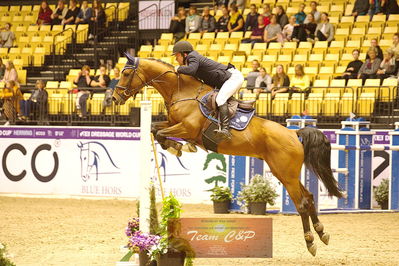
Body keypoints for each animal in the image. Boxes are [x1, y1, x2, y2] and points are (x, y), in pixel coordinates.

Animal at [112, 54, 344, 256]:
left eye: (126, 73)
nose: (114, 98)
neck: (181, 91)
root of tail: (295, 134)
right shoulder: (173, 123)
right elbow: (154, 129)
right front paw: (177, 147)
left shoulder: (187, 128)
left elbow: (160, 132)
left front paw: (179, 147)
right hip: (286, 174)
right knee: (310, 197)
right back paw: (322, 233)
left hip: (286, 174)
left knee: (302, 203)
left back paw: (311, 241)